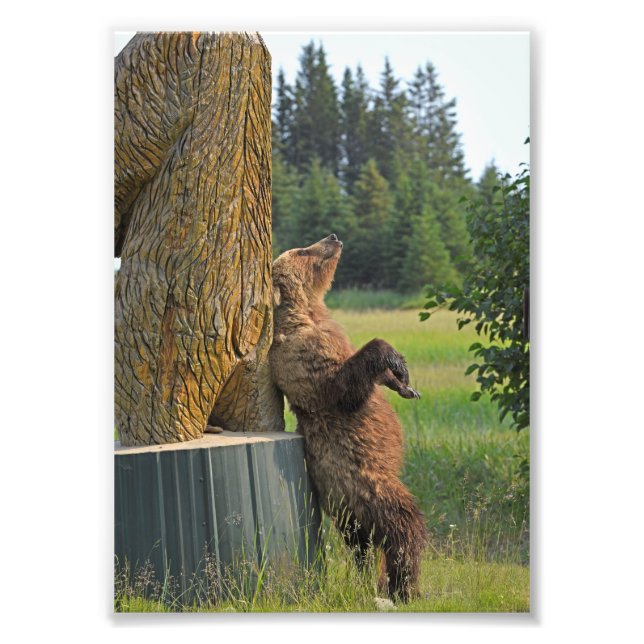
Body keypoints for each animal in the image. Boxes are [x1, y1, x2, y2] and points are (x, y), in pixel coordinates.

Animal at [269, 233, 428, 602]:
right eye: (302, 250)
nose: (332, 237)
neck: (309, 311)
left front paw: (403, 383)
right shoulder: (304, 359)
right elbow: (343, 387)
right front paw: (394, 358)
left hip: (351, 516)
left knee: (362, 547)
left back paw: (374, 579)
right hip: (366, 487)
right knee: (402, 528)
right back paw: (405, 587)